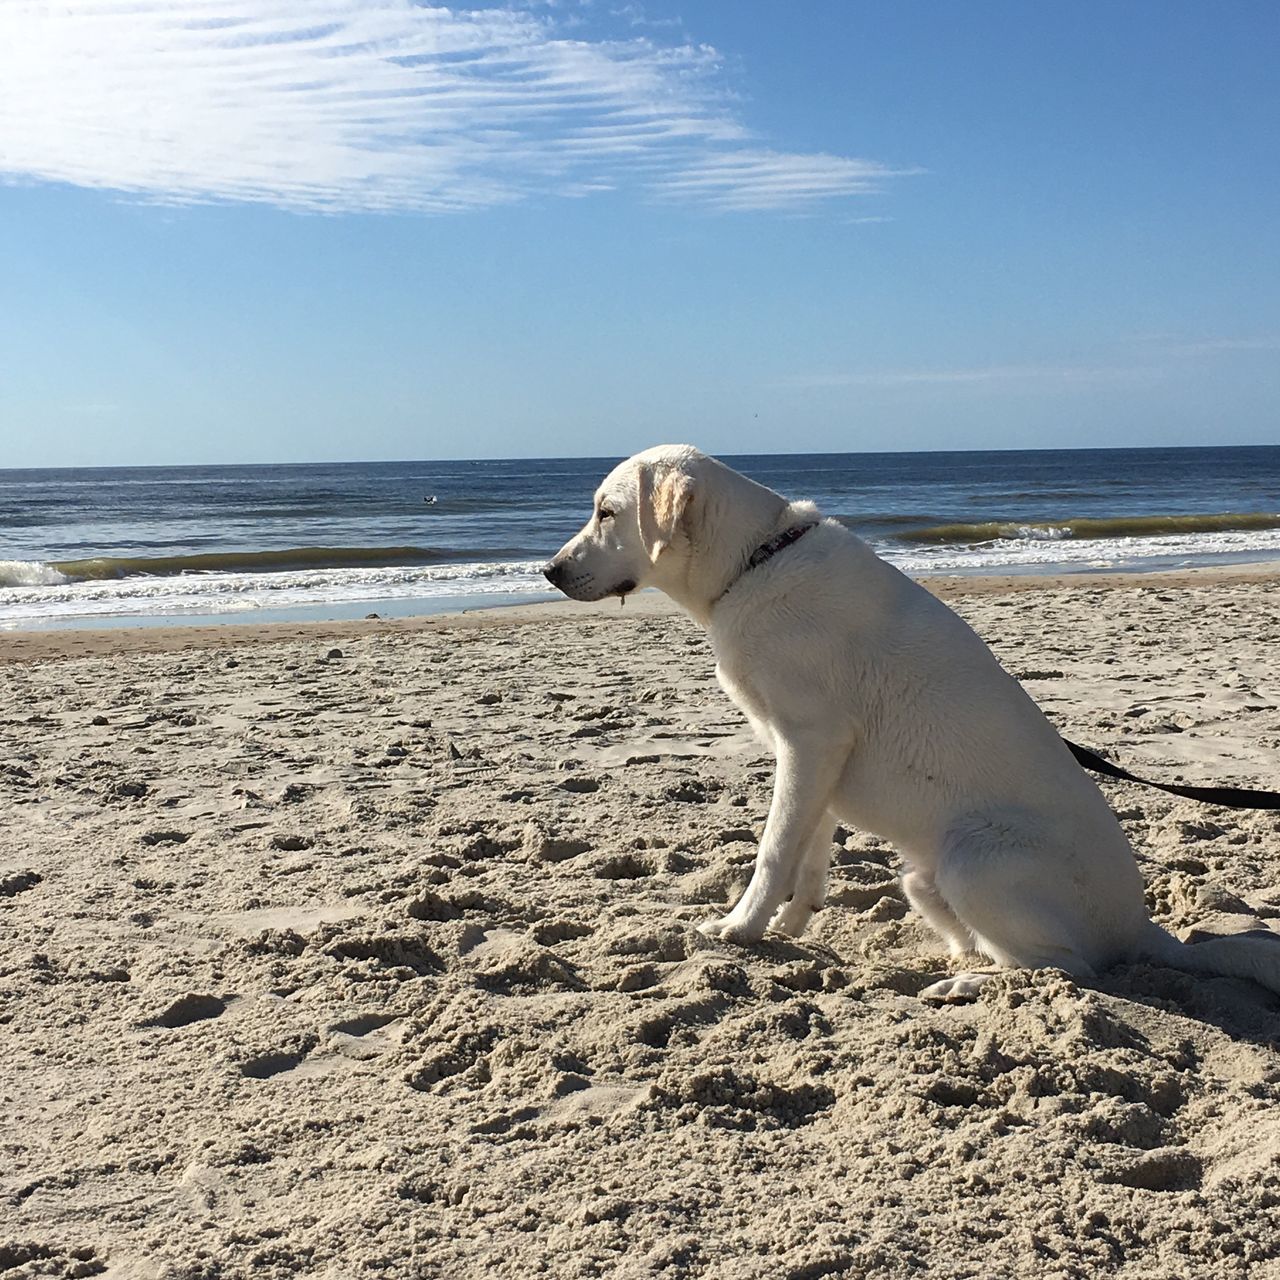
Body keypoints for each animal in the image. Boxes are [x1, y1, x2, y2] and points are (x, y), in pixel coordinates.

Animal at [542, 448, 1280, 998]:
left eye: (606, 512)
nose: (548, 570)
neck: (755, 563)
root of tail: (1140, 928)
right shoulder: (810, 757)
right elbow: (807, 848)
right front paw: (793, 921)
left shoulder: (811, 741)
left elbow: (774, 849)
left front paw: (741, 928)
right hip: (924, 879)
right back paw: (962, 965)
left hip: (975, 856)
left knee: (1070, 969)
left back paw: (970, 987)